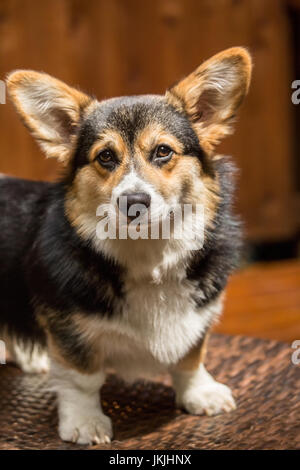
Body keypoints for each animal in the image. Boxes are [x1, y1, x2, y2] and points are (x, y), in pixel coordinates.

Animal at [1, 47, 251, 444]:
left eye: (163, 151)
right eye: (105, 156)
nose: (133, 202)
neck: (148, 252)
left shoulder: (199, 319)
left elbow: (191, 357)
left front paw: (200, 394)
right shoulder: (68, 328)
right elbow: (82, 379)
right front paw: (85, 422)